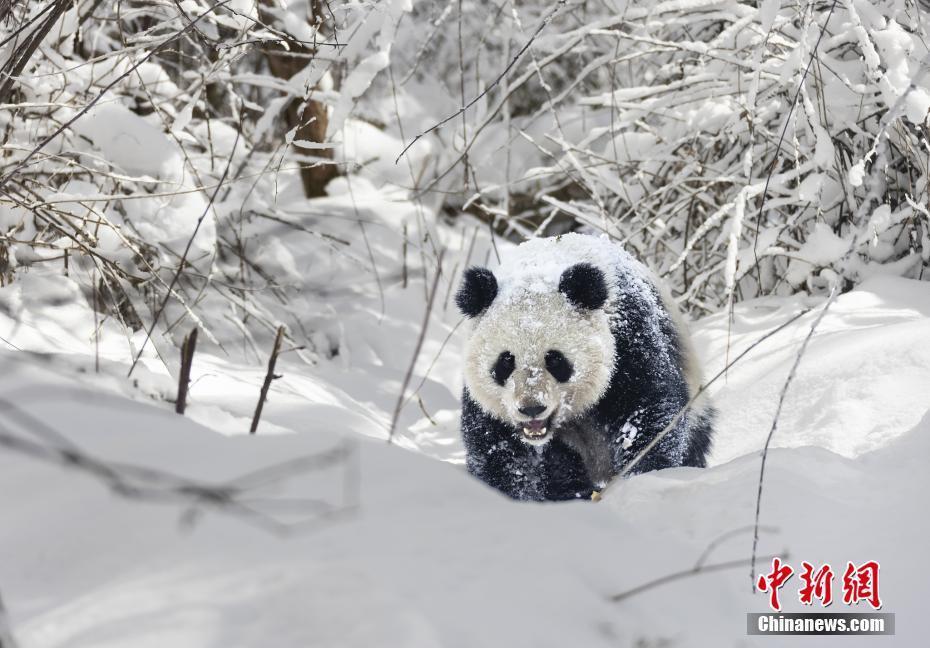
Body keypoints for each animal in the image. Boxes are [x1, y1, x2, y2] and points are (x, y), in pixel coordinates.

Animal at [454, 233, 712, 502]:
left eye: (555, 359)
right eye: (506, 360)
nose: (532, 408)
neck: (538, 271)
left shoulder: (628, 338)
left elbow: (648, 411)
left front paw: (641, 478)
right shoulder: (486, 403)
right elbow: (496, 447)